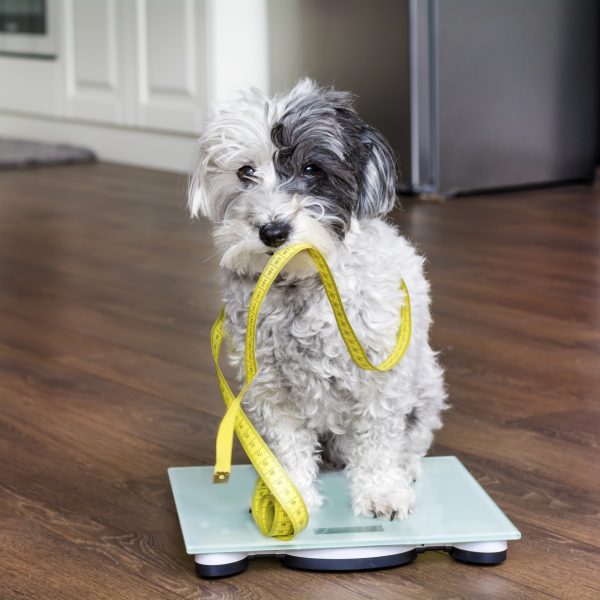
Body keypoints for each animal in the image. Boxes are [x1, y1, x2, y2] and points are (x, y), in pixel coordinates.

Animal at [188, 78, 446, 520]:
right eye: (245, 172)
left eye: (312, 169)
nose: (273, 231)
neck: (301, 285)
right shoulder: (269, 388)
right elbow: (288, 451)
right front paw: (288, 501)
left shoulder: (380, 380)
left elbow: (378, 443)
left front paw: (382, 492)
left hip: (427, 386)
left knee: (412, 438)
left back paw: (407, 468)